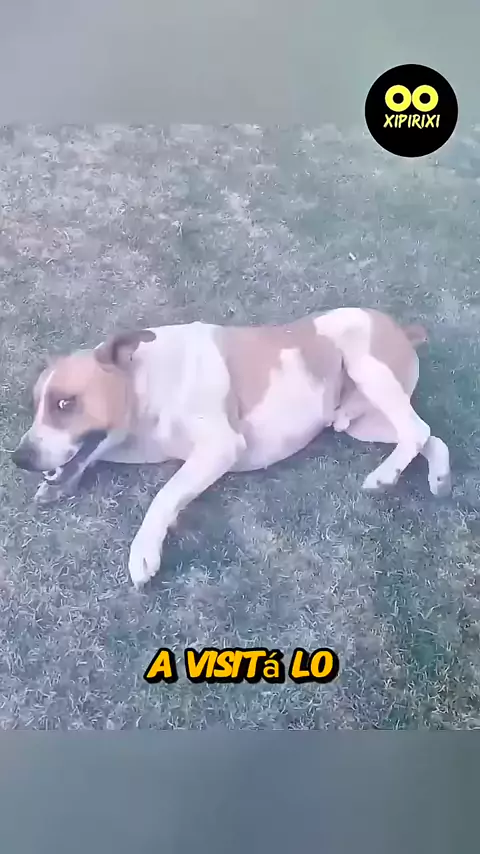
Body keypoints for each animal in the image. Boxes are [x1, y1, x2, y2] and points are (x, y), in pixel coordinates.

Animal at [12, 307, 451, 589]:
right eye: (36, 405)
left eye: (65, 403)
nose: (19, 458)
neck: (144, 382)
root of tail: (401, 328)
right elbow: (98, 458)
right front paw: (56, 485)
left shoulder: (219, 447)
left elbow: (163, 494)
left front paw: (145, 550)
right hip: (362, 423)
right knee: (428, 434)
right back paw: (438, 476)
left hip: (368, 366)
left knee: (417, 429)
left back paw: (385, 475)